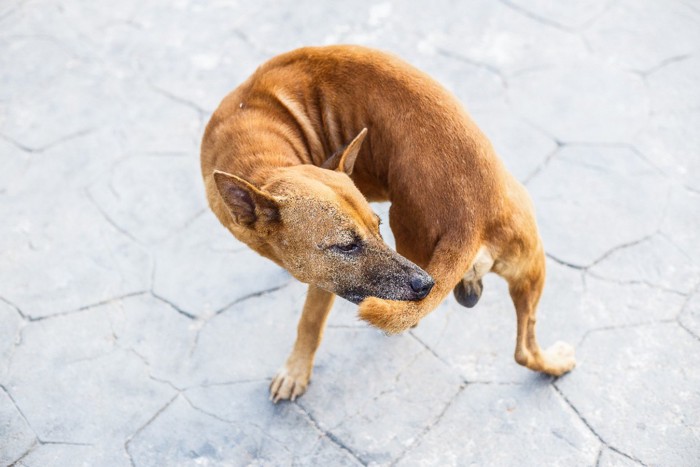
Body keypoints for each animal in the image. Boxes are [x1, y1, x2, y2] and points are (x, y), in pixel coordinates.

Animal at [201, 45, 576, 402]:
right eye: (347, 245)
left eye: (376, 227)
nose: (426, 284)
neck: (261, 156)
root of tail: (472, 214)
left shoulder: (325, 283)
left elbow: (308, 322)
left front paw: (295, 371)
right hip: (527, 266)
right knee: (524, 349)